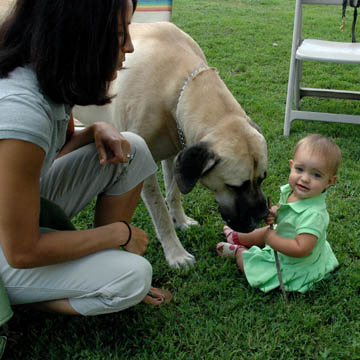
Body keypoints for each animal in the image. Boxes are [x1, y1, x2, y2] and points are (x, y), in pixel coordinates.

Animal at [74, 21, 268, 268]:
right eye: (235, 186)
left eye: (262, 179)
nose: (263, 215)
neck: (178, 83)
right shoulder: (144, 168)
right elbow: (160, 212)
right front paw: (176, 253)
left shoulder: (176, 150)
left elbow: (174, 192)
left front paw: (181, 221)